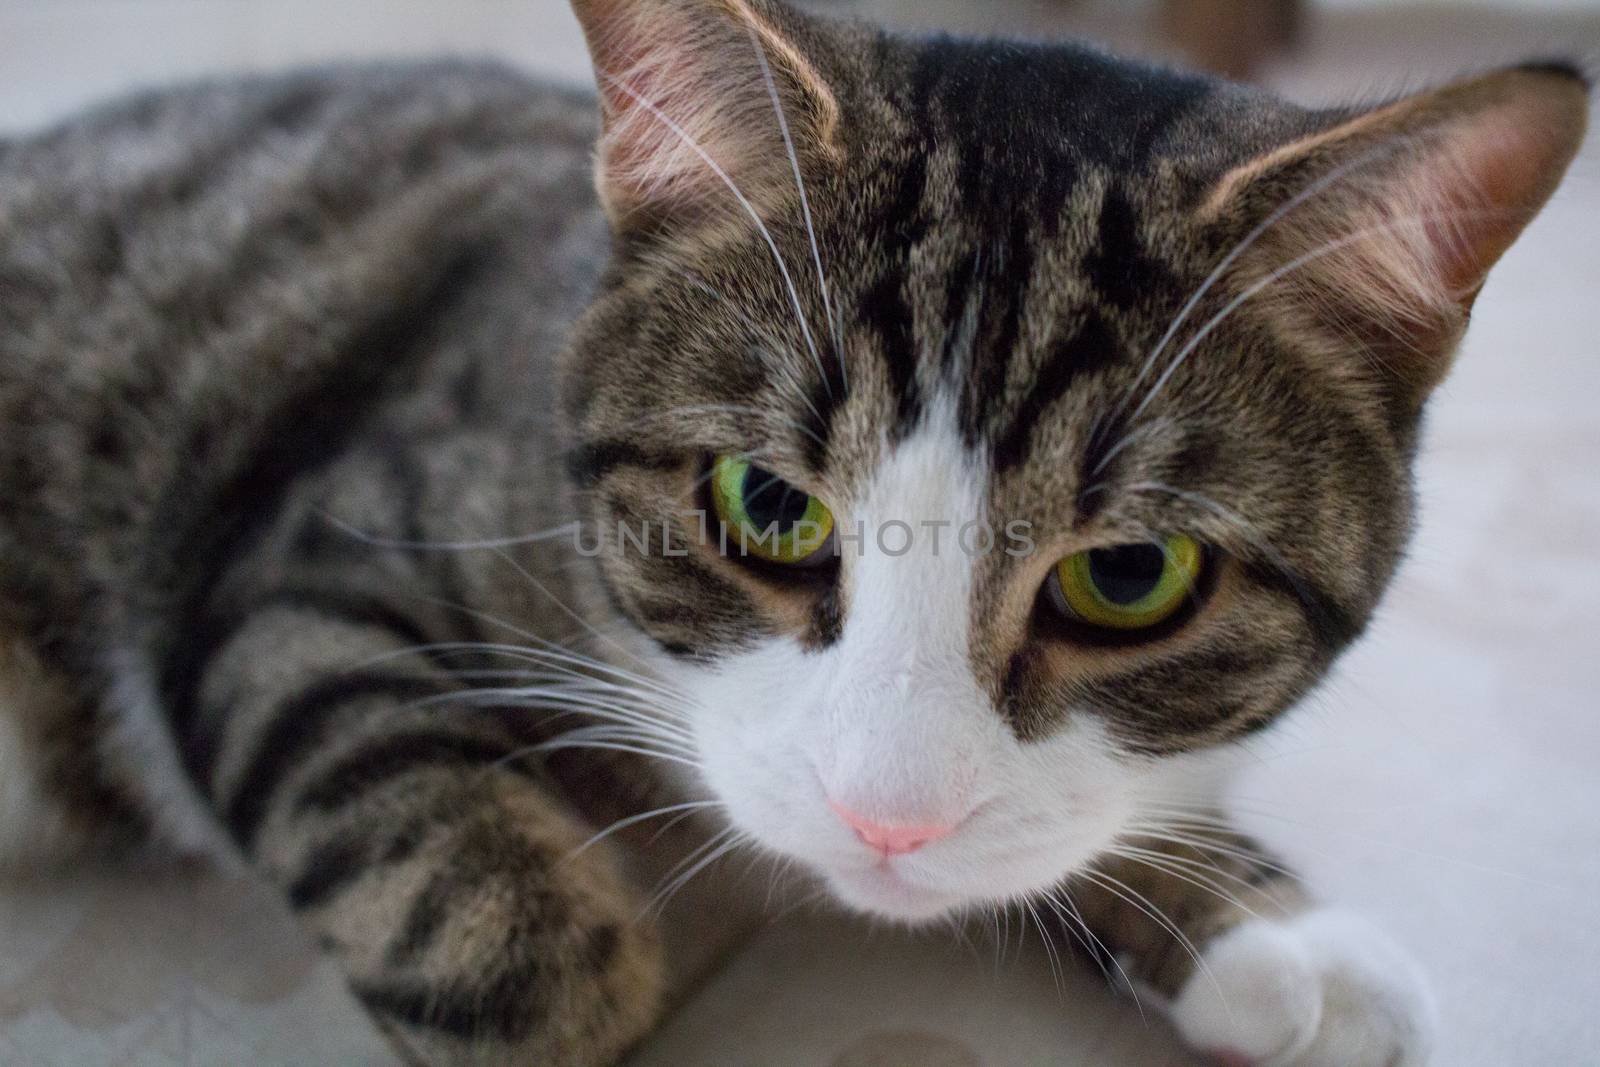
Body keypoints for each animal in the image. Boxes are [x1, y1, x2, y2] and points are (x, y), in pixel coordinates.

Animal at [0, 0, 1580, 1062]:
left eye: (1130, 575)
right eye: (767, 505)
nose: (888, 816)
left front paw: (1258, 920)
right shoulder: (306, 545)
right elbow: (377, 784)